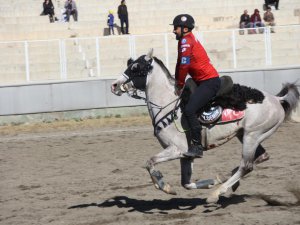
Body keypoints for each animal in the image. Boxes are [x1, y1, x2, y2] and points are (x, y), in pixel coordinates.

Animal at [110, 48, 300, 203]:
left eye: (135, 67)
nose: (114, 85)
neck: (170, 105)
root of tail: (277, 99)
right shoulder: (186, 156)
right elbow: (186, 183)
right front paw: (212, 181)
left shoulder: (176, 150)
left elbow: (150, 162)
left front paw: (164, 186)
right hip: (246, 135)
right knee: (260, 158)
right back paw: (228, 181)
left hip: (252, 136)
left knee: (246, 165)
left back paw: (217, 193)